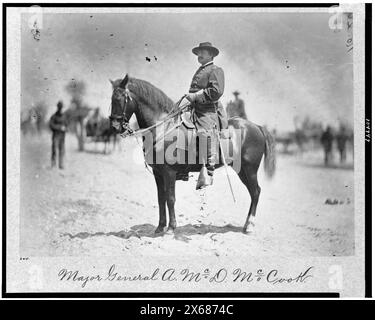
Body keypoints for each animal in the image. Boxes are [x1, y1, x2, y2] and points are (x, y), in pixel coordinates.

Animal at [108, 75, 276, 235]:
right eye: (111, 99)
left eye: (119, 99)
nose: (115, 126)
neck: (163, 128)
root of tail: (256, 126)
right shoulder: (158, 173)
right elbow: (161, 198)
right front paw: (160, 227)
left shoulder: (169, 172)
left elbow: (170, 198)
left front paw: (171, 228)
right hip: (241, 171)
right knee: (254, 193)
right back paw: (246, 225)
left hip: (250, 170)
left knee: (256, 192)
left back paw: (249, 226)